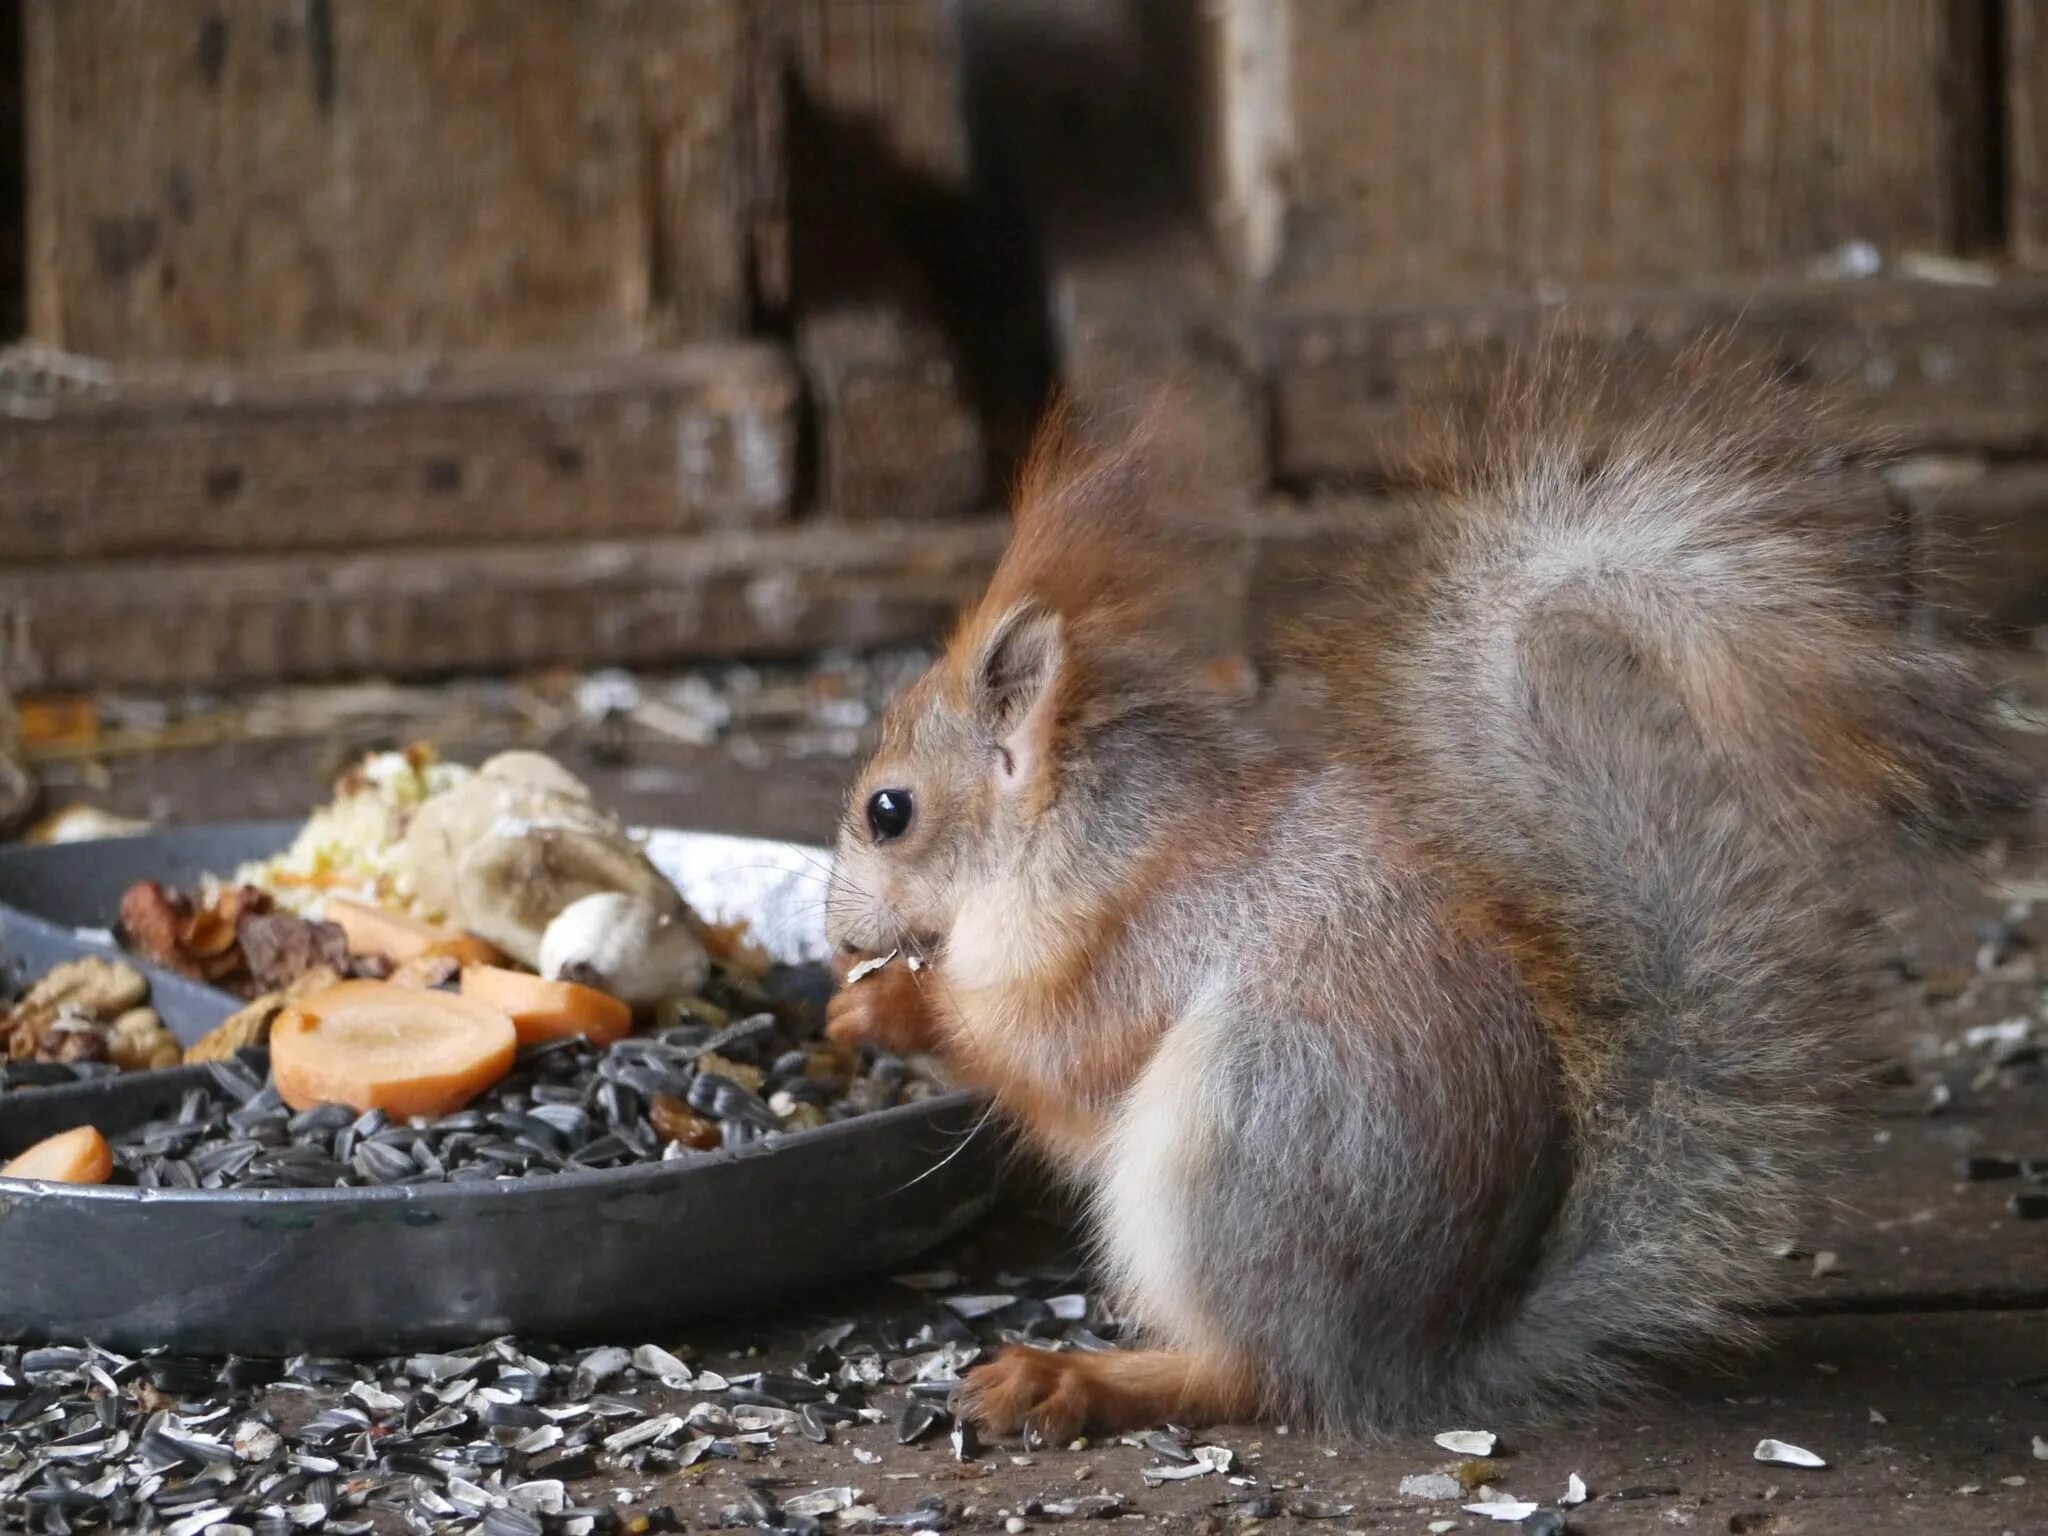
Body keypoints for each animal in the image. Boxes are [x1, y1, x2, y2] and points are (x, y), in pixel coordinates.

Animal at [819, 348, 2031, 1441]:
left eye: (889, 810)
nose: (834, 938)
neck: (1072, 830)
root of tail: (1409, 1357)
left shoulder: (1132, 939)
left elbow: (1054, 1060)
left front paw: (890, 1007)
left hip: (1245, 1127)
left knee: (1258, 1376)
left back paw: (1078, 1380)